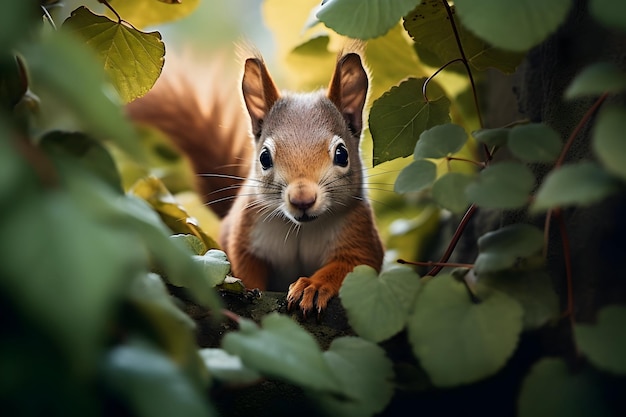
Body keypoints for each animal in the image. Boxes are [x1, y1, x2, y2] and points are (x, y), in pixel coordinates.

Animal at [127, 50, 382, 314]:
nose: (302, 200)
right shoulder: (244, 234)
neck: (301, 228)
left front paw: (313, 286)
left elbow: (352, 266)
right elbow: (245, 269)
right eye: (264, 157)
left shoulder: (360, 236)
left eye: (342, 154)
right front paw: (247, 289)